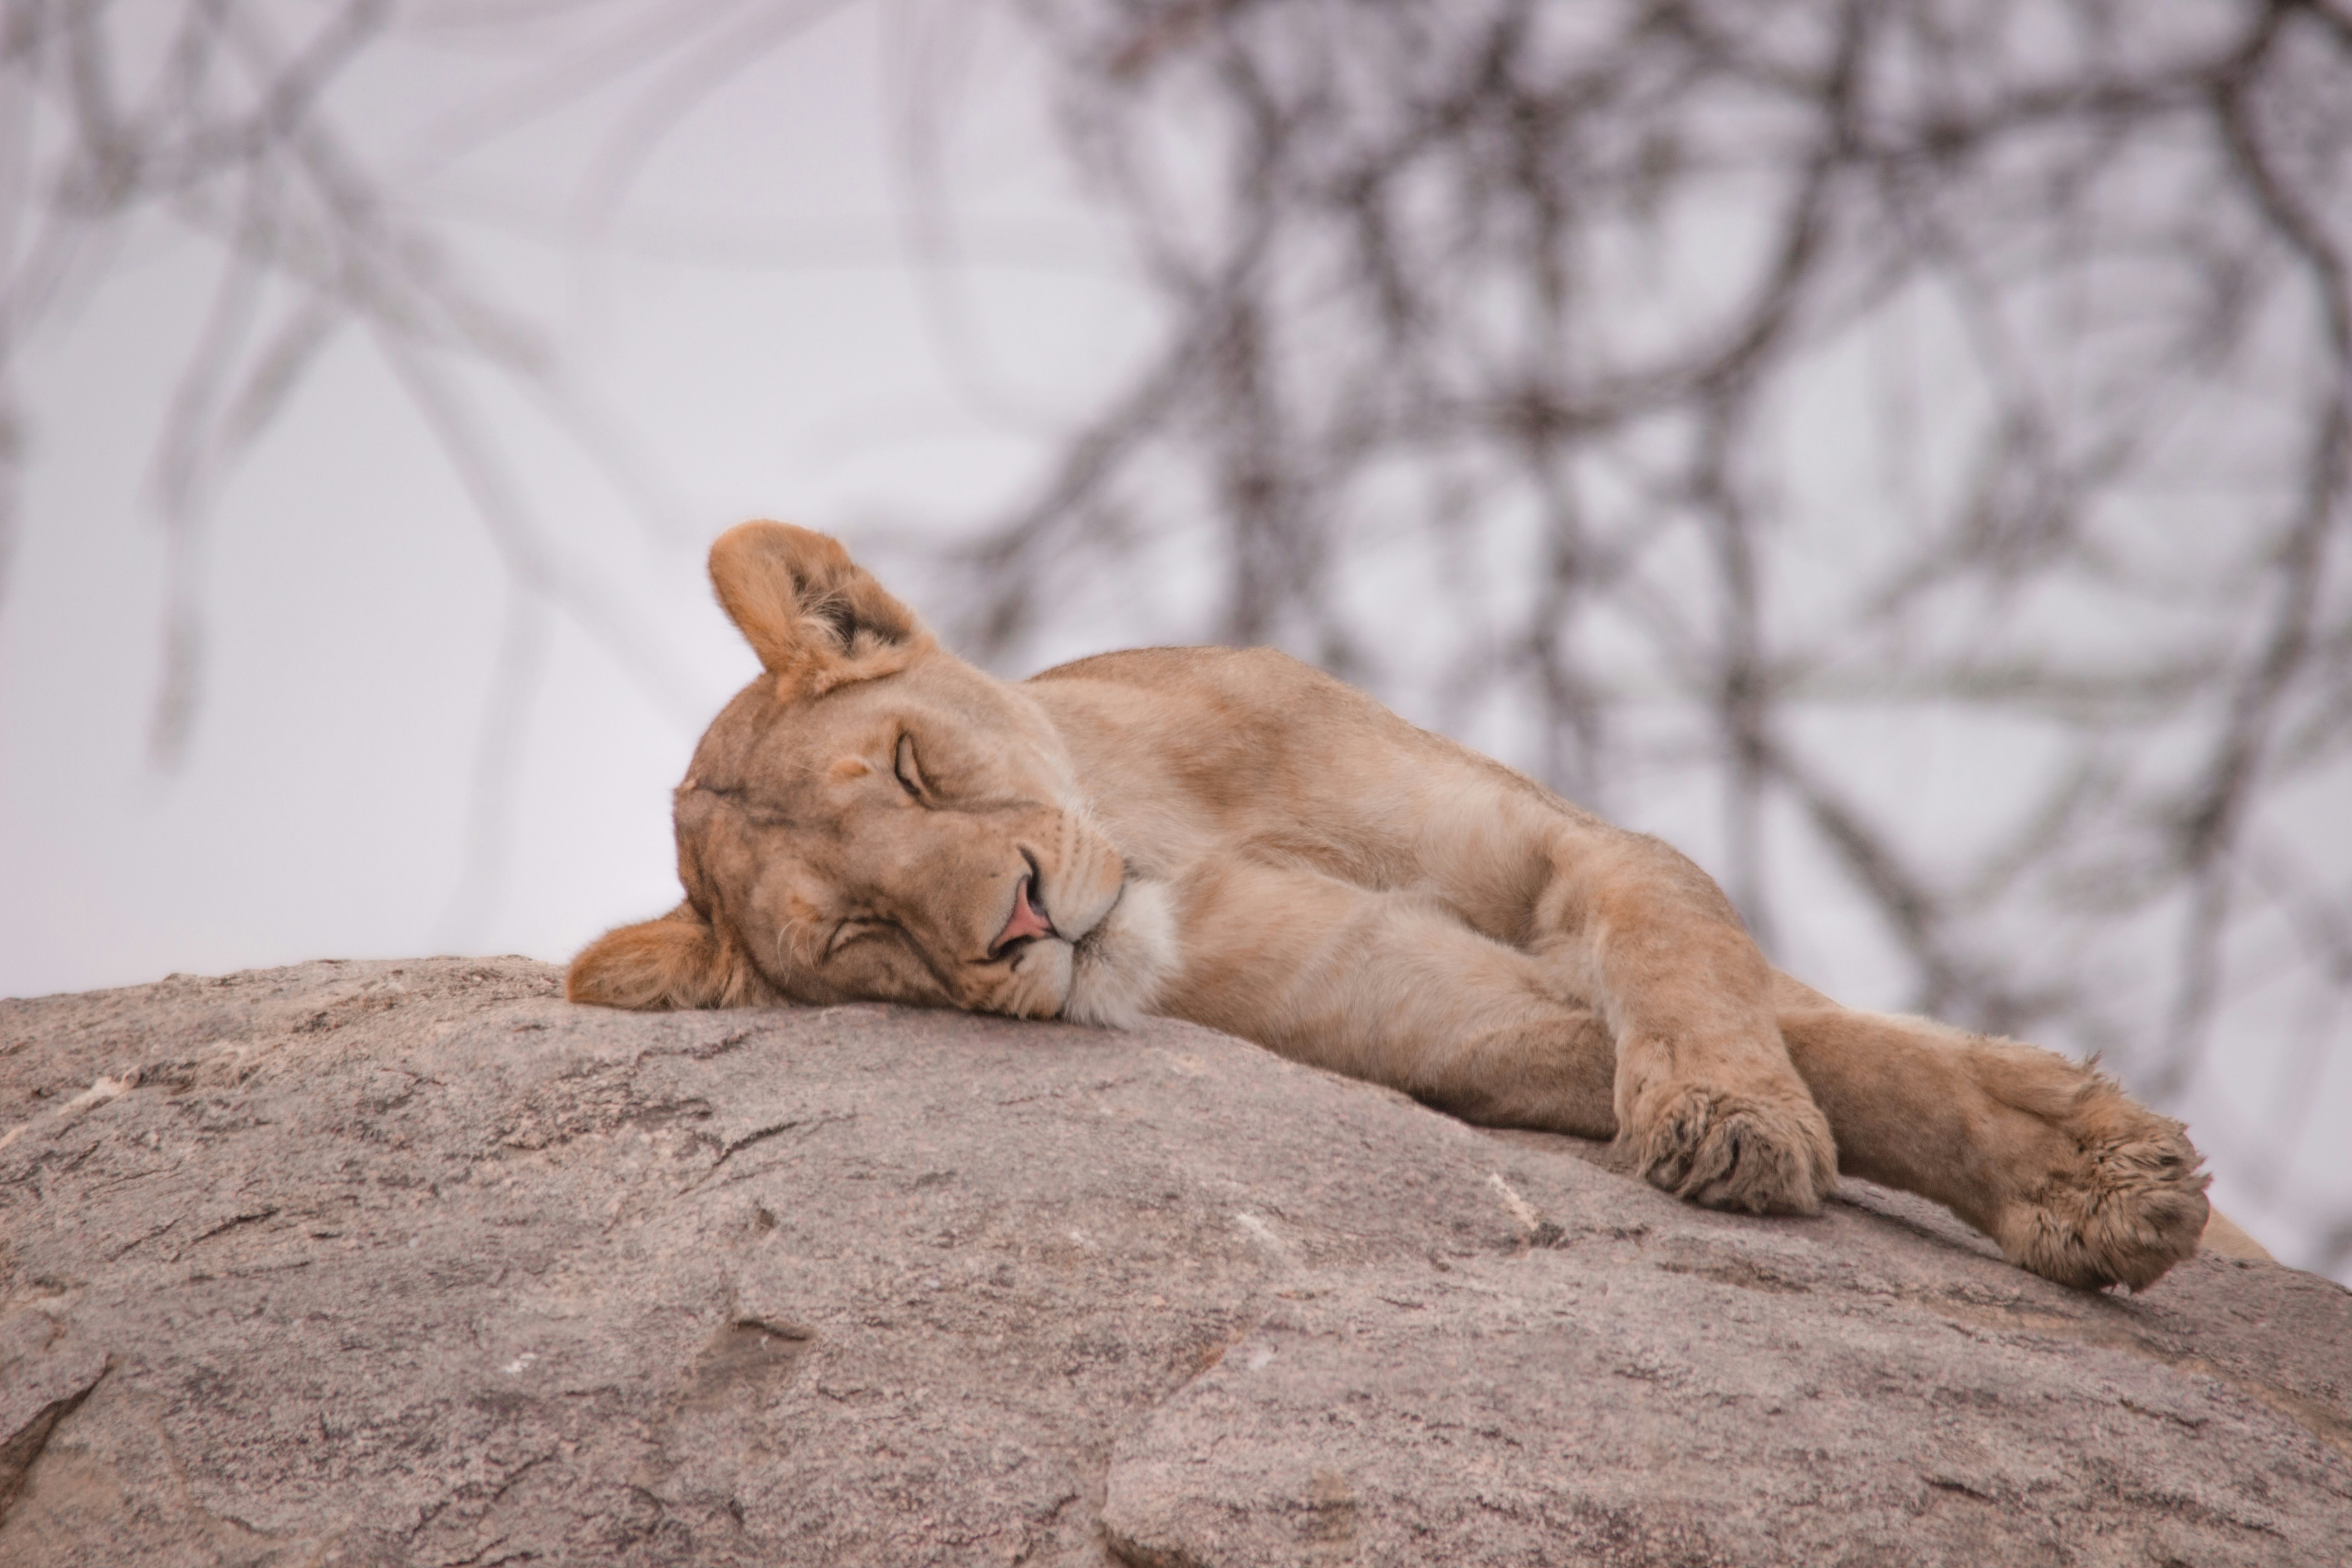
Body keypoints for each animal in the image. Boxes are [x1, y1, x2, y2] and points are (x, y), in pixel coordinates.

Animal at [569, 521, 2224, 1291]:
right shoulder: (1446, 1023)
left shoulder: (1558, 847)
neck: (1173, 833)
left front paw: (2091, 1173)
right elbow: (1812, 1057)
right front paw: (2082, 1176)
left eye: (913, 768)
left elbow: (1710, 962)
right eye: (860, 933)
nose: (1023, 922)